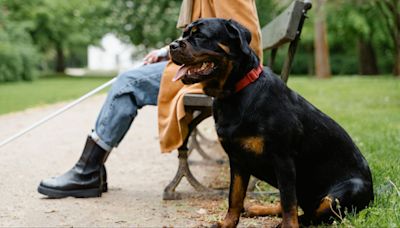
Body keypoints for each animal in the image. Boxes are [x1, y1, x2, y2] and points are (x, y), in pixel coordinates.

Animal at [168, 18, 372, 228]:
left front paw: (288, 226)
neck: (233, 93)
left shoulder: (283, 159)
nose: (172, 45)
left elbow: (288, 201)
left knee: (311, 214)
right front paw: (227, 223)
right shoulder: (237, 159)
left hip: (346, 191)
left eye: (200, 35)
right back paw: (257, 209)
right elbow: (235, 196)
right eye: (184, 34)